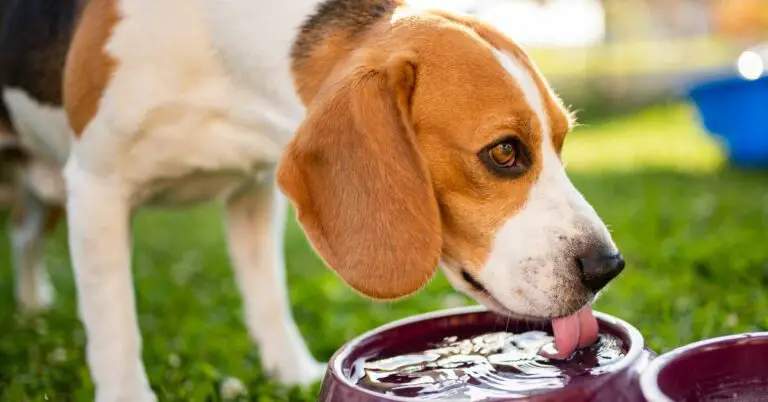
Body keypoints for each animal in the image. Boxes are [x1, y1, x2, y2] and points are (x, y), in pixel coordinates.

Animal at [0, 0, 624, 398]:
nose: (607, 266)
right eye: (504, 152)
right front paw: (127, 392)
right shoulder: (97, 186)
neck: (220, 57)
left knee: (26, 237)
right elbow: (113, 321)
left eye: (561, 142)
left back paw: (32, 305)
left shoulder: (253, 189)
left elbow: (267, 296)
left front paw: (292, 373)